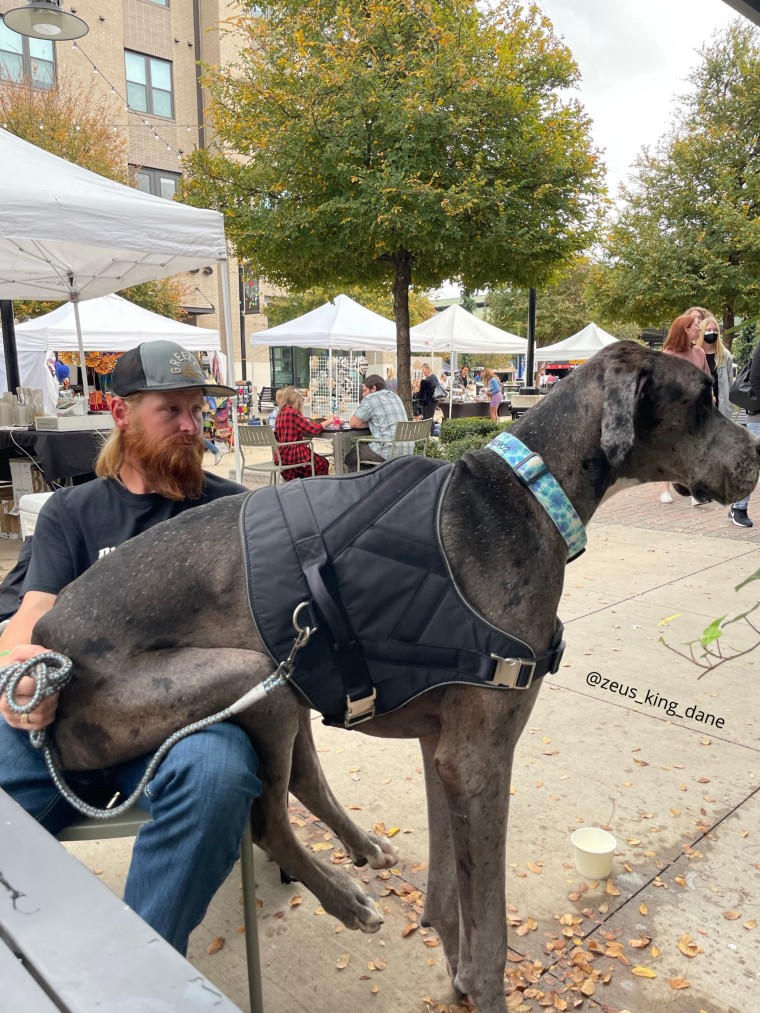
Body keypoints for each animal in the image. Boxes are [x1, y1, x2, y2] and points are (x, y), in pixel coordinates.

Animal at [26, 342, 760, 1013]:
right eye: (703, 397)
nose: (756, 460)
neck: (532, 495)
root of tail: (45, 644)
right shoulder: (480, 756)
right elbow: (489, 927)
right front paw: (481, 988)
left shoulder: (444, 752)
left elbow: (448, 892)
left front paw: (453, 965)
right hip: (247, 675)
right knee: (268, 819)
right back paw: (344, 898)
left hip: (289, 672)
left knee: (301, 778)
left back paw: (360, 849)